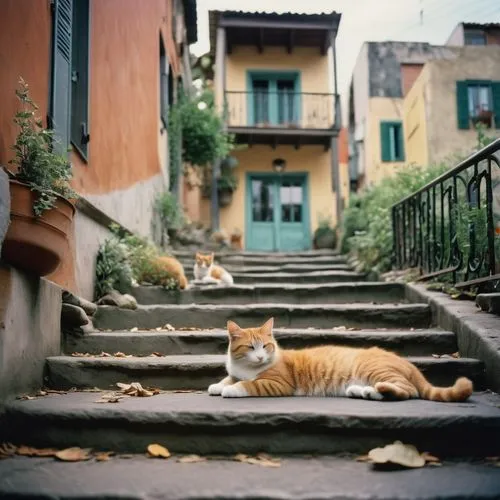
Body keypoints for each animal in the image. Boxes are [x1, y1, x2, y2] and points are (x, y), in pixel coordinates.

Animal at [207, 316, 472, 402]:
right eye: (251, 347)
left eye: (266, 346)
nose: (261, 356)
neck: (246, 366)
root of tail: (407, 362)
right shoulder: (235, 371)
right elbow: (228, 378)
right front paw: (217, 385)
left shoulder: (277, 383)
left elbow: (248, 384)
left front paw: (231, 390)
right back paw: (364, 391)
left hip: (377, 370)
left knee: (409, 390)